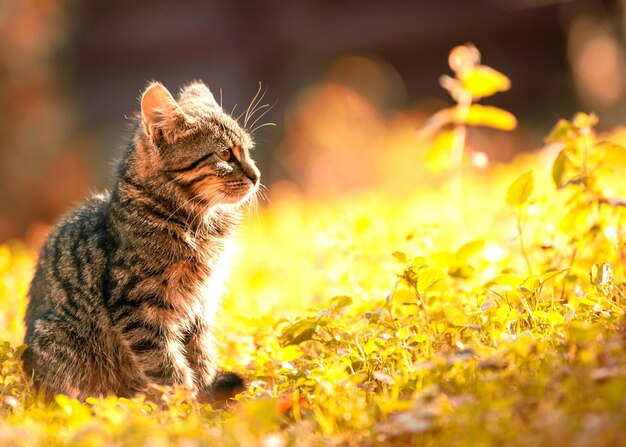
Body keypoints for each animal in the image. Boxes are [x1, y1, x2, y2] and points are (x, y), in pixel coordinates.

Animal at [22, 79, 258, 400]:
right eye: (224, 155)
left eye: (248, 150)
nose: (257, 176)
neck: (197, 223)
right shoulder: (140, 309)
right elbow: (168, 367)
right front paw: (186, 406)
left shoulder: (200, 306)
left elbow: (201, 356)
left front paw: (206, 394)